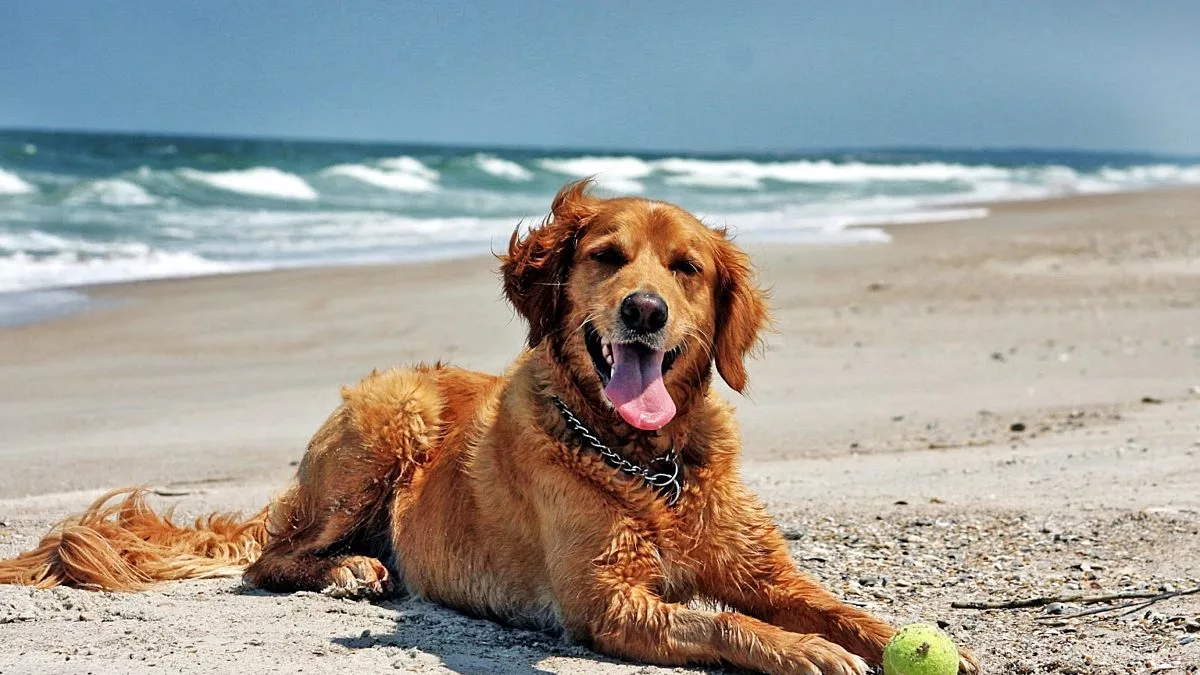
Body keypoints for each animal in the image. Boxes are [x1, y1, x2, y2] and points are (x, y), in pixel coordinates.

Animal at [0, 180, 974, 672]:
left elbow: (838, 604)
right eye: (606, 257)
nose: (645, 311)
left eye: (687, 268)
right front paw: (803, 650)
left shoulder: (758, 567)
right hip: (386, 420)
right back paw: (350, 567)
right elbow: (727, 625)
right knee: (270, 558)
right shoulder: (604, 600)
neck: (647, 461)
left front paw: (900, 639)